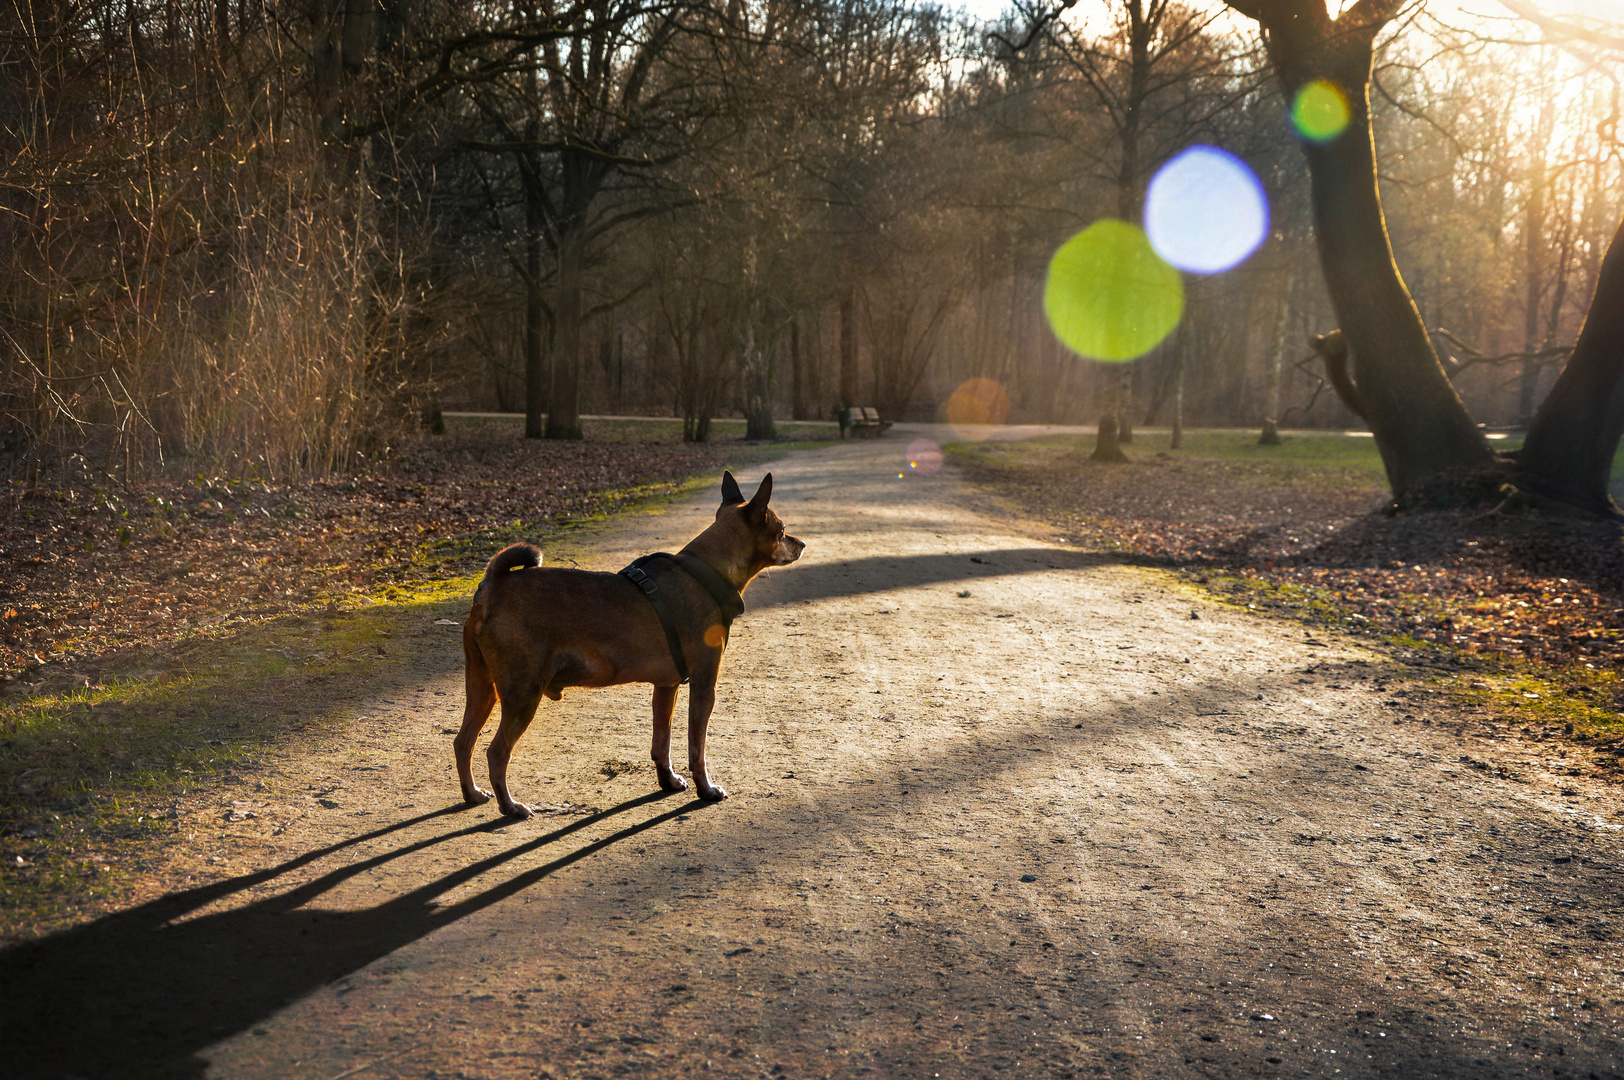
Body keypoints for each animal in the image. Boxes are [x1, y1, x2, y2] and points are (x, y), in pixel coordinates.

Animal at [451, 467, 805, 812]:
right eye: (783, 529)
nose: (801, 543)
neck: (708, 569)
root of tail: (493, 586)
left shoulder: (666, 687)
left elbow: (661, 744)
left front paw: (668, 781)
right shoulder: (704, 685)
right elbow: (697, 749)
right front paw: (705, 789)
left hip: (482, 689)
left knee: (463, 741)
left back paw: (472, 793)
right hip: (522, 695)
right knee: (496, 752)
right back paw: (510, 806)